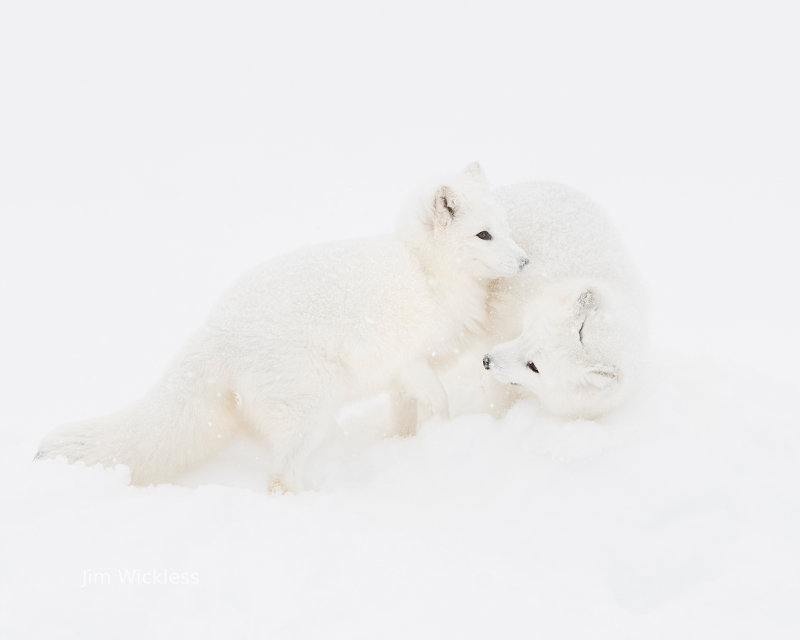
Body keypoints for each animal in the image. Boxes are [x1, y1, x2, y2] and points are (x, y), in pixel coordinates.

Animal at [37, 162, 528, 488]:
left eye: (506, 228)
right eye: (484, 235)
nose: (525, 262)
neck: (425, 268)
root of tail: (215, 327)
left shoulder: (399, 375)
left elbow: (405, 413)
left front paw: (407, 442)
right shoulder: (406, 359)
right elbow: (439, 399)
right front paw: (446, 433)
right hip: (312, 408)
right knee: (278, 477)